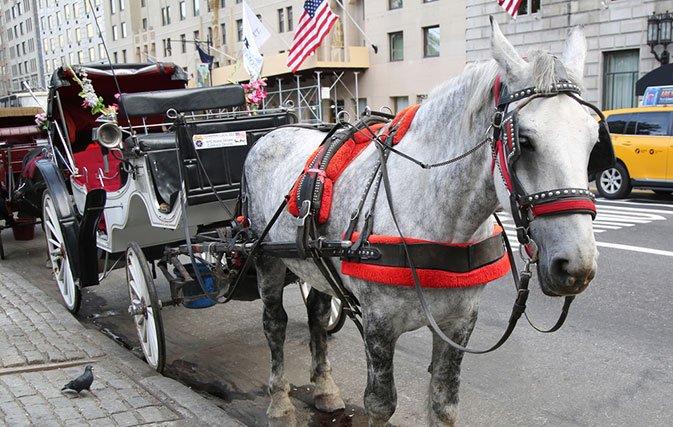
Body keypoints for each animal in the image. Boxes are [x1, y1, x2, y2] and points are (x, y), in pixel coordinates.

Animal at [243, 20, 600, 427]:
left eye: (594, 140)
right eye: (523, 141)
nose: (576, 267)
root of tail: (272, 133)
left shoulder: (459, 322)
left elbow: (444, 404)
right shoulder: (379, 325)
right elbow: (381, 404)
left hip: (312, 262)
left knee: (317, 315)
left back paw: (325, 390)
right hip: (265, 257)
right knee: (275, 323)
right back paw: (280, 403)